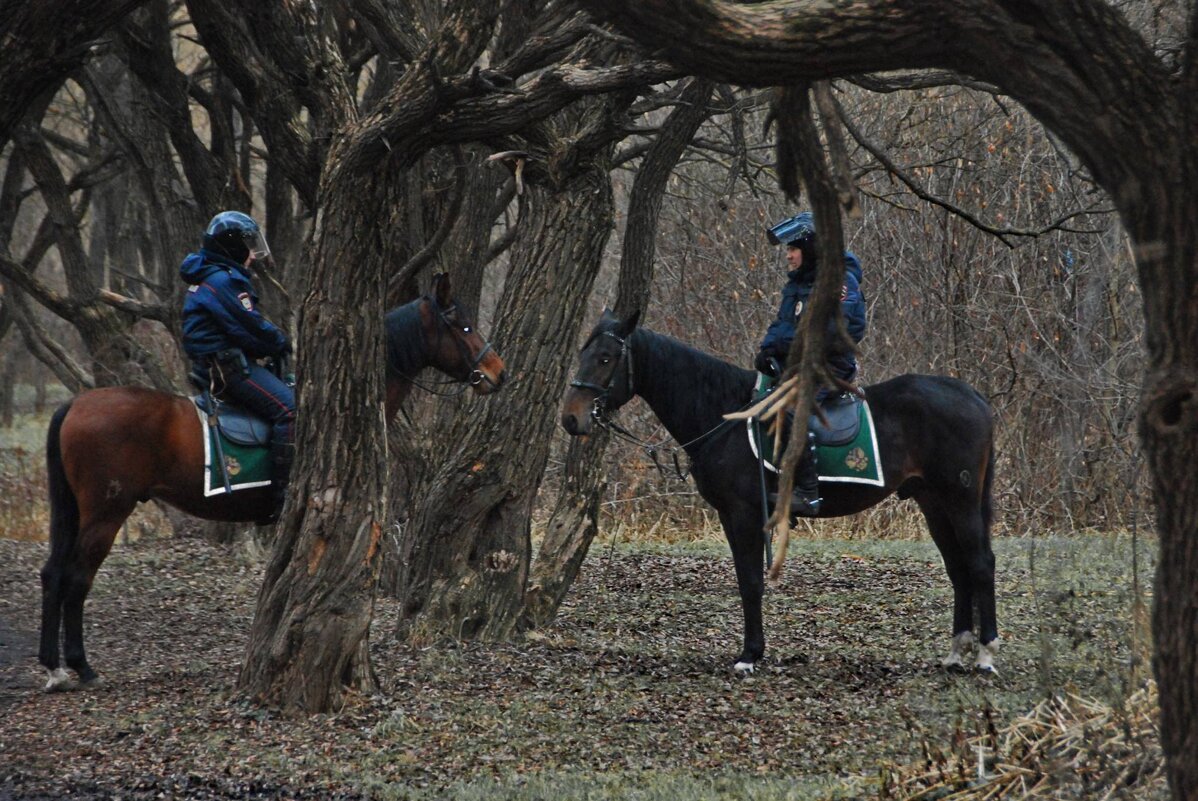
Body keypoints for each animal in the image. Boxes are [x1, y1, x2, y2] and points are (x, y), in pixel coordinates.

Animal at [39, 272, 503, 689]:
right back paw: (81, 667)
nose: (498, 373)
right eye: (464, 326)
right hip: (105, 513)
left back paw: (54, 668)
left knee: (53, 572)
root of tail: (74, 405)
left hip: (77, 513)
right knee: (76, 578)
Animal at [560, 311, 1001, 675]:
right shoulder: (730, 516)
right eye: (583, 353)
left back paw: (985, 654)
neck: (726, 416)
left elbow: (751, 581)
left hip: (959, 499)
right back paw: (957, 652)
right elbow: (745, 579)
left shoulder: (744, 514)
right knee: (958, 568)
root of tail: (973, 396)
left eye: (605, 358)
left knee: (980, 564)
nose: (570, 419)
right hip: (934, 502)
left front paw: (750, 655)